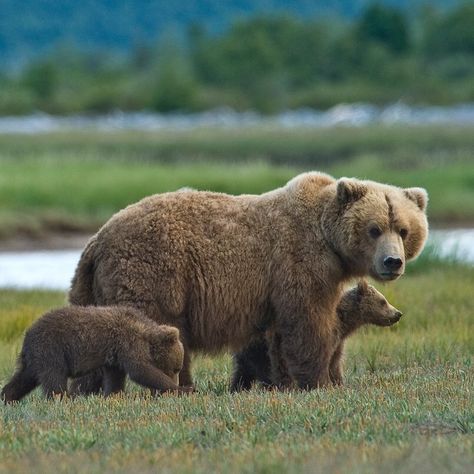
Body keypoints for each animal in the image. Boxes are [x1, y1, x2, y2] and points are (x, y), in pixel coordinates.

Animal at [68, 173, 428, 392]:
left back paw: (85, 391)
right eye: (374, 228)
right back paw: (176, 387)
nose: (392, 262)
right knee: (155, 332)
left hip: (90, 287)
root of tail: (98, 239)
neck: (329, 242)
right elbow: (308, 323)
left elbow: (278, 339)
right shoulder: (299, 263)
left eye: (403, 229)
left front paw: (286, 382)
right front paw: (319, 381)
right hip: (154, 273)